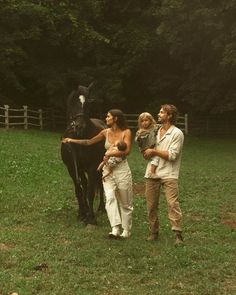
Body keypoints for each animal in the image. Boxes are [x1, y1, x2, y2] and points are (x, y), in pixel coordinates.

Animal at [60, 83, 106, 224]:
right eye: (73, 101)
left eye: (88, 104)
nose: (79, 126)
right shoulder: (72, 168)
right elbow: (79, 190)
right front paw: (81, 213)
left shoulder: (92, 167)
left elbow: (90, 192)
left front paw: (91, 218)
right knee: (84, 186)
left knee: (100, 185)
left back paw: (101, 208)